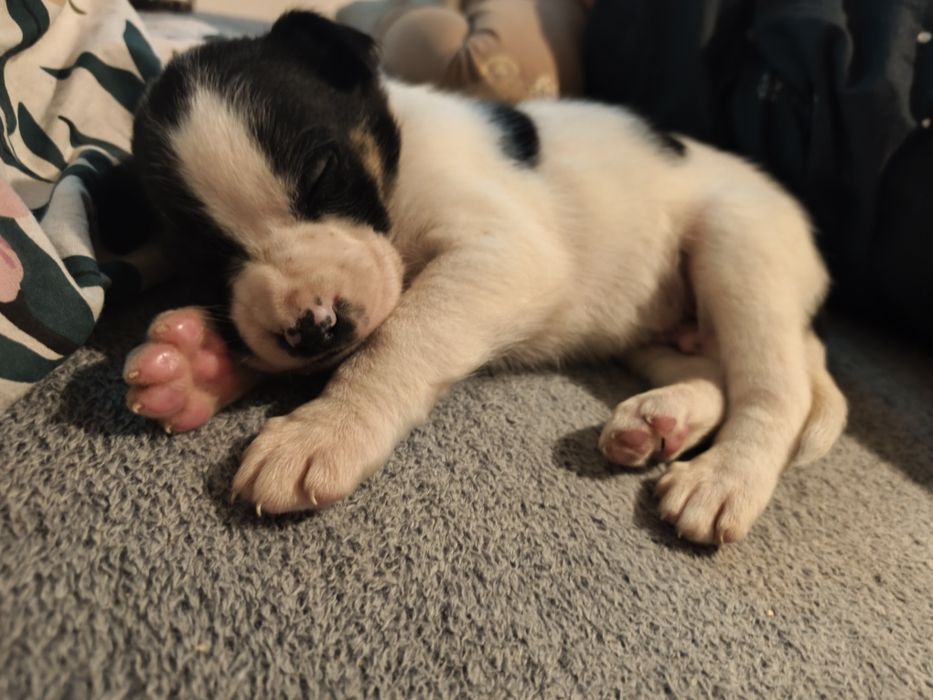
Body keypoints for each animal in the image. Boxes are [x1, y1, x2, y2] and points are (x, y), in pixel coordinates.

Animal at [115, 11, 847, 544]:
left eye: (322, 171)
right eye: (204, 252)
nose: (315, 328)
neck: (396, 172)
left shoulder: (504, 253)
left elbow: (398, 337)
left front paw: (324, 429)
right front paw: (202, 366)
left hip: (739, 249)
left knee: (776, 392)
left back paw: (722, 479)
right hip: (652, 328)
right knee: (718, 374)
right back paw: (662, 417)